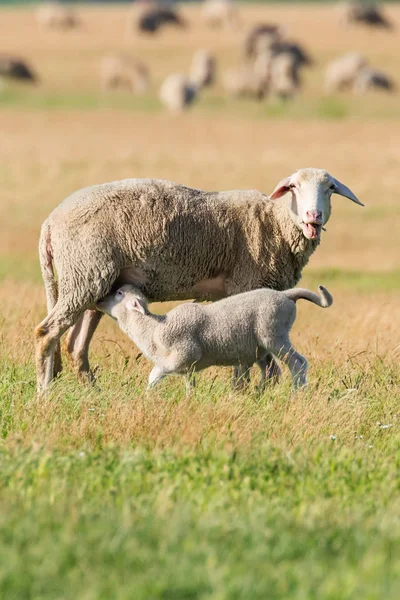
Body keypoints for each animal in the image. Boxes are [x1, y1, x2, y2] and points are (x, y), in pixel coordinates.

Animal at [97, 284, 334, 392]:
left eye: (119, 293)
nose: (99, 300)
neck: (153, 328)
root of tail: (285, 294)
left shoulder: (184, 354)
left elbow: (153, 376)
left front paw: (147, 397)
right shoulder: (188, 367)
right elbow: (189, 387)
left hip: (275, 336)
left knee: (298, 363)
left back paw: (297, 394)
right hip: (262, 346)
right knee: (271, 372)